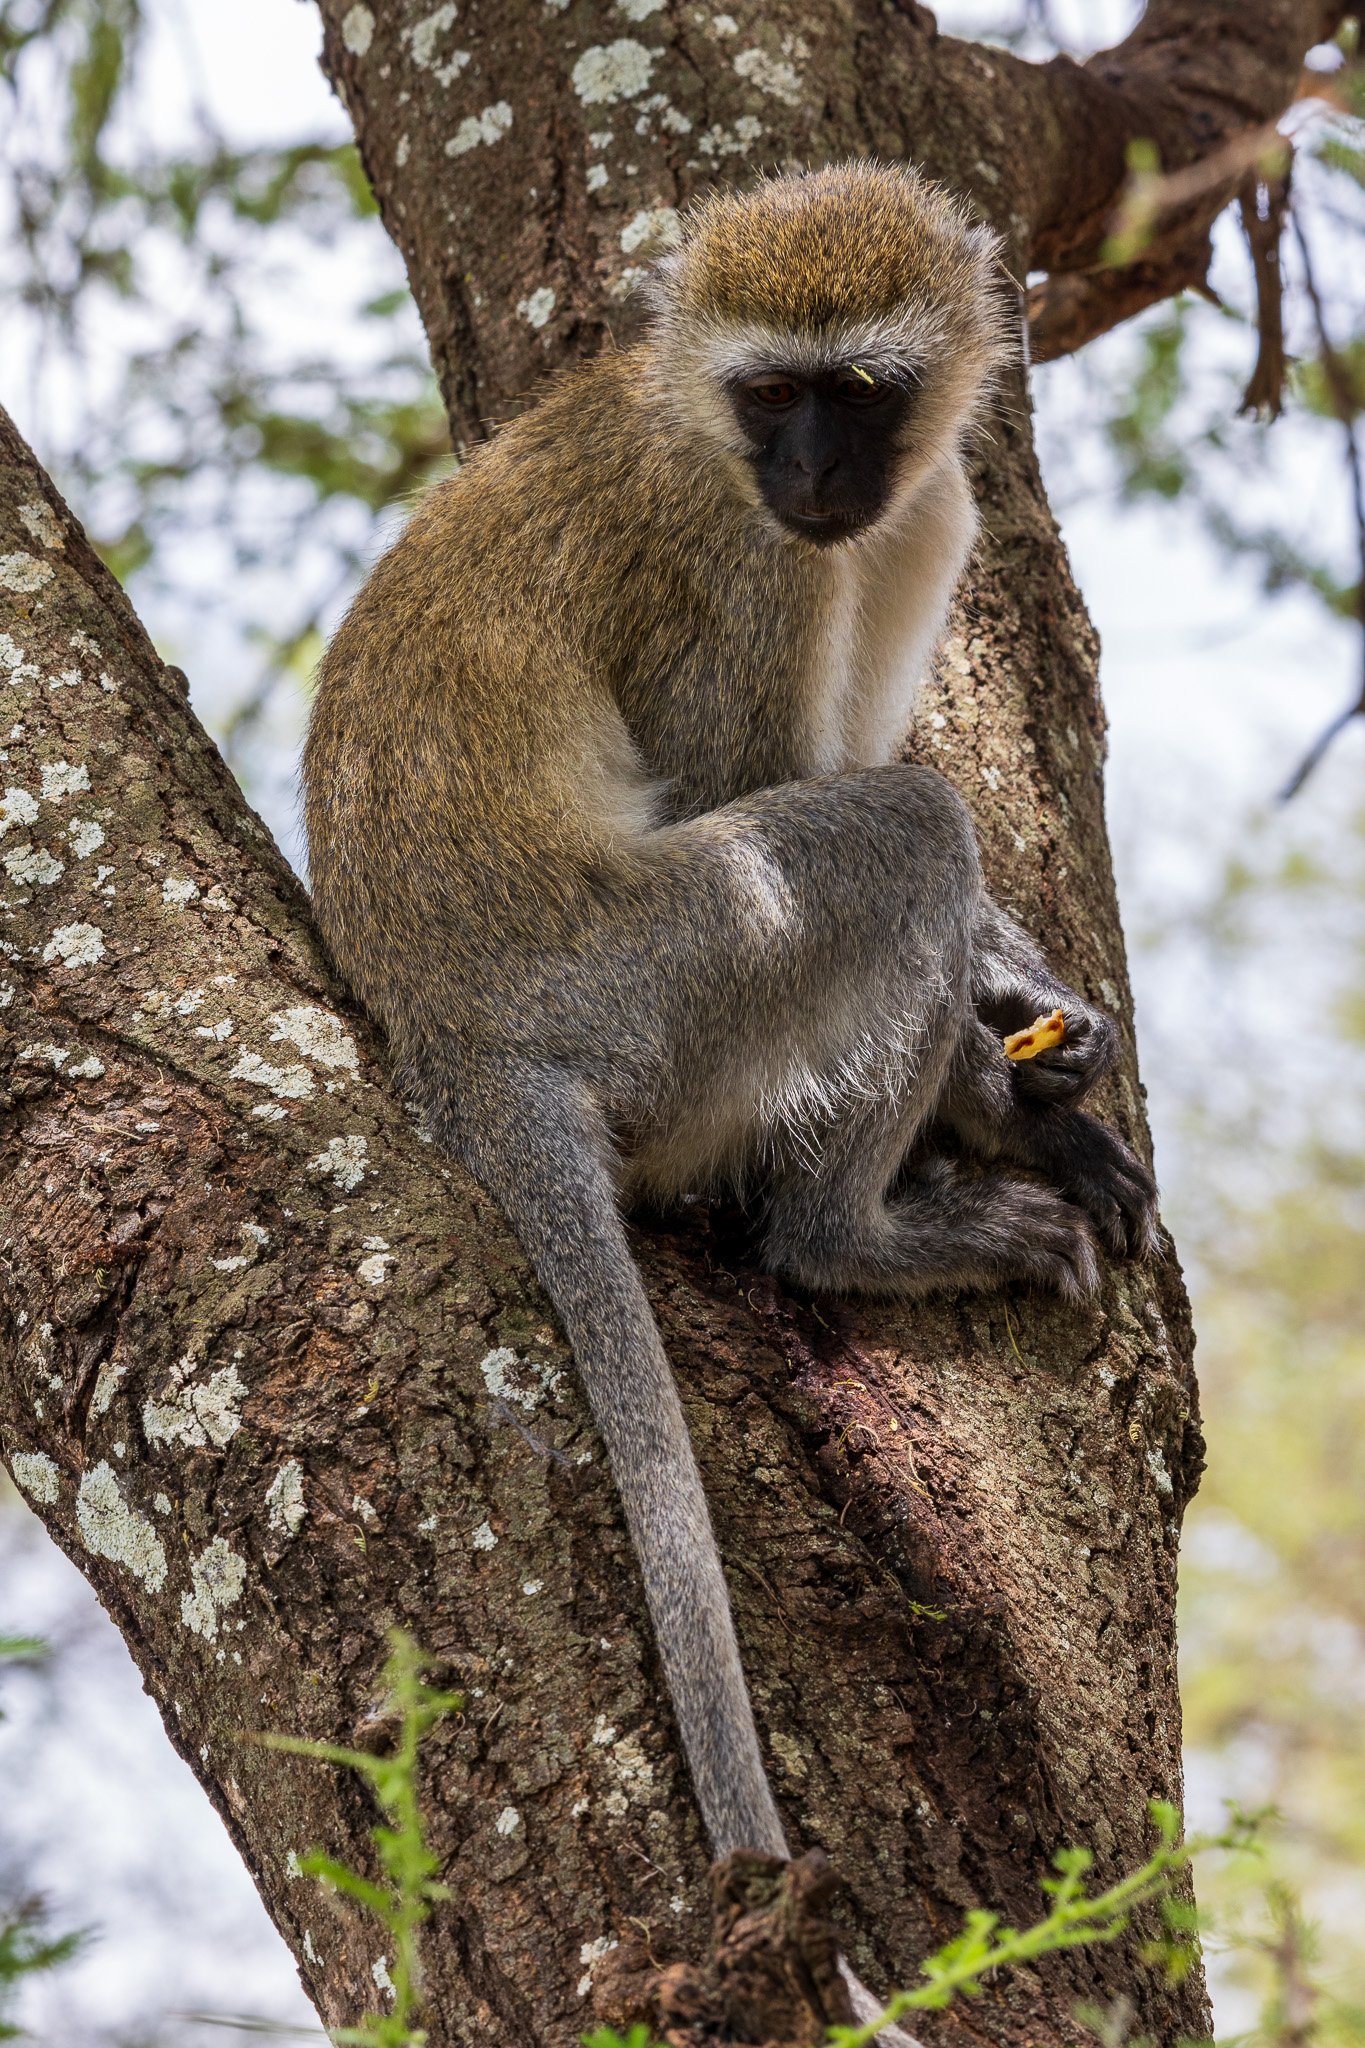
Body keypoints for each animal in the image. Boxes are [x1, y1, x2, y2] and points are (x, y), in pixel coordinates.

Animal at [304, 159, 1162, 2015]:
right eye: (773, 398)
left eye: (858, 393)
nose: (814, 482)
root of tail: (464, 1038)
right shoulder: (735, 567)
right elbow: (756, 778)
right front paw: (1001, 1088)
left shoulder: (920, 519)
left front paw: (1032, 1009)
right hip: (666, 975)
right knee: (898, 827)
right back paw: (855, 1233)